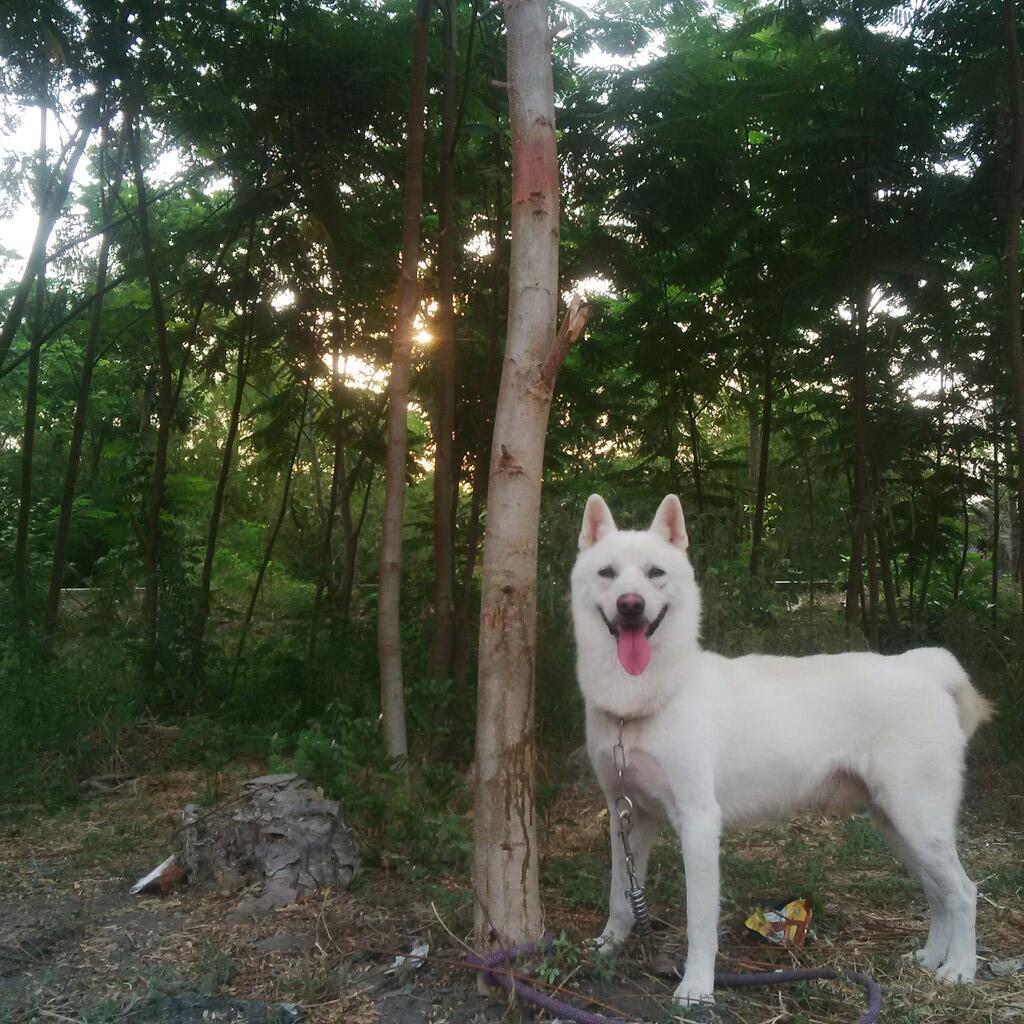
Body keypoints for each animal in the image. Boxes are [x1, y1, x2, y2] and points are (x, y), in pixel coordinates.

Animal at [569, 495, 991, 1007]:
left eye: (655, 573)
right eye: (607, 573)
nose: (630, 606)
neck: (641, 706)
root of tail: (922, 668)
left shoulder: (698, 823)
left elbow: (699, 921)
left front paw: (697, 988)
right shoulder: (626, 816)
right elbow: (620, 897)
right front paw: (607, 947)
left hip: (918, 822)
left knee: (964, 892)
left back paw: (960, 969)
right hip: (898, 827)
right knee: (939, 894)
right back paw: (932, 958)